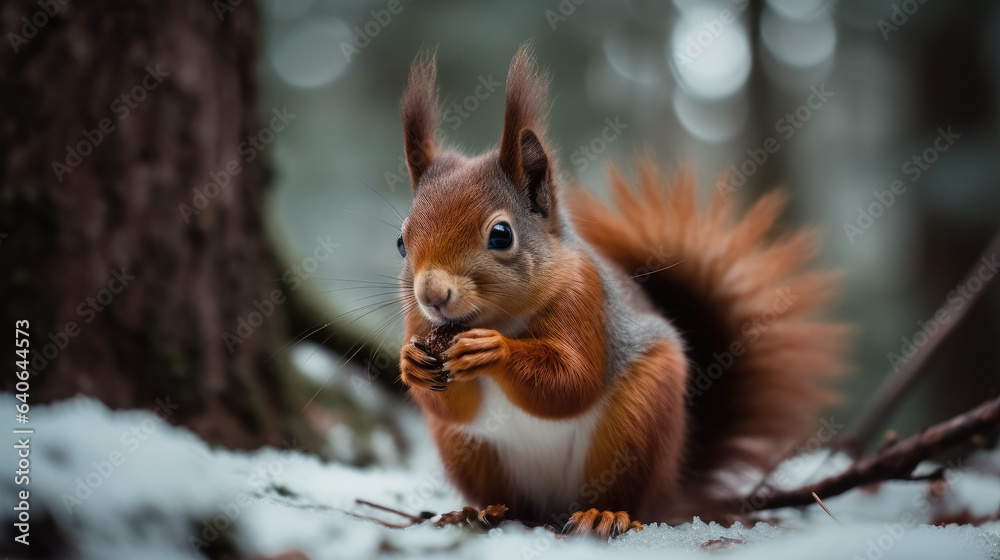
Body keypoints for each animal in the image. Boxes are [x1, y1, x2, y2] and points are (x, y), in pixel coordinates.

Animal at [395, 43, 847, 538]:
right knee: (507, 495)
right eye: (401, 242)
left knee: (626, 496)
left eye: (501, 235)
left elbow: (572, 381)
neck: (498, 318)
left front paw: (493, 350)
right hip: (471, 451)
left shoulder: (585, 300)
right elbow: (452, 408)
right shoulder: (419, 324)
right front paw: (411, 363)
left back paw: (604, 514)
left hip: (638, 421)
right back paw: (478, 512)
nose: (432, 296)